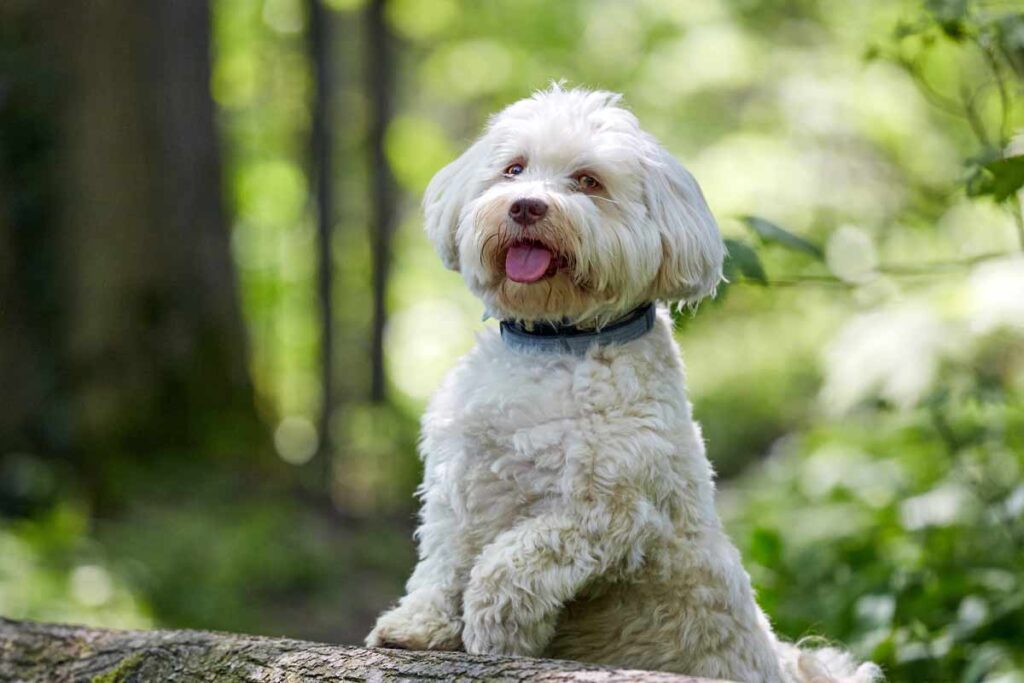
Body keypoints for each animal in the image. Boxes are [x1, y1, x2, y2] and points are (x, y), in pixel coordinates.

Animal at [364, 87, 876, 683]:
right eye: (514, 169)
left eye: (588, 181)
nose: (525, 206)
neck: (559, 341)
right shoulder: (461, 482)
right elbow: (444, 560)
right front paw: (416, 626)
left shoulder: (606, 513)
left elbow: (511, 561)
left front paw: (496, 631)